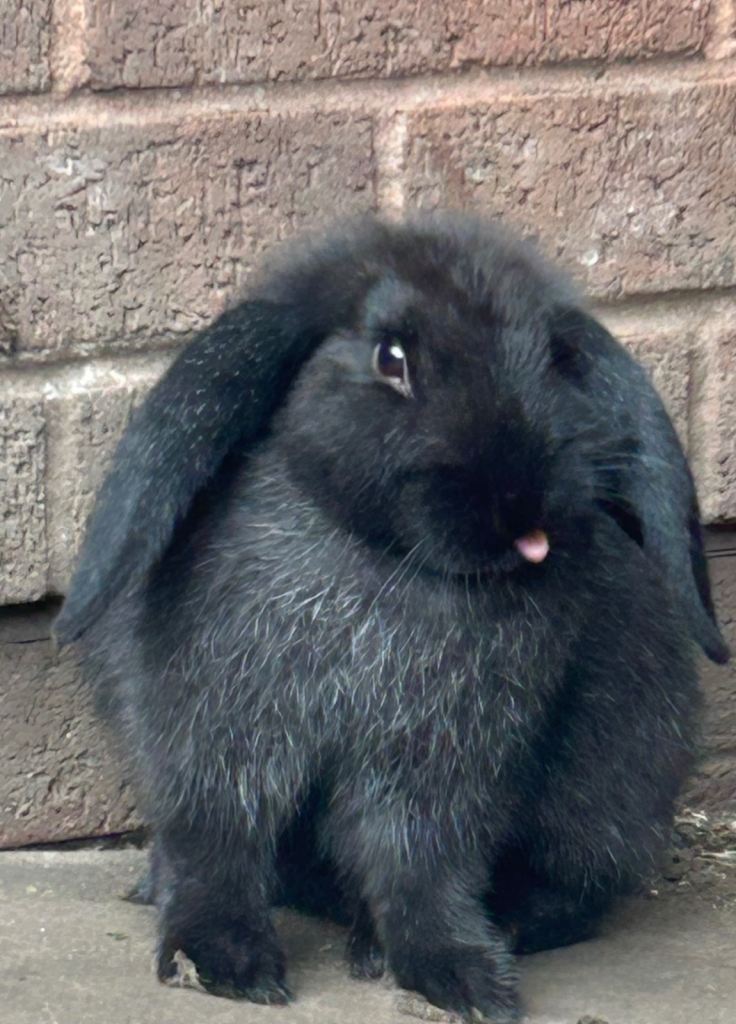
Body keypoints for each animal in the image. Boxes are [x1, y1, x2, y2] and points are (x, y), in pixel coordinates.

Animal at [55, 212, 729, 1022]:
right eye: (391, 357)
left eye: (554, 360)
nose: (521, 505)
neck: (382, 558)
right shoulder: (214, 732)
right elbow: (215, 840)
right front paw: (220, 963)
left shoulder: (444, 766)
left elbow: (420, 867)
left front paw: (459, 977)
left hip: (609, 792)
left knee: (573, 889)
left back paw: (458, 932)